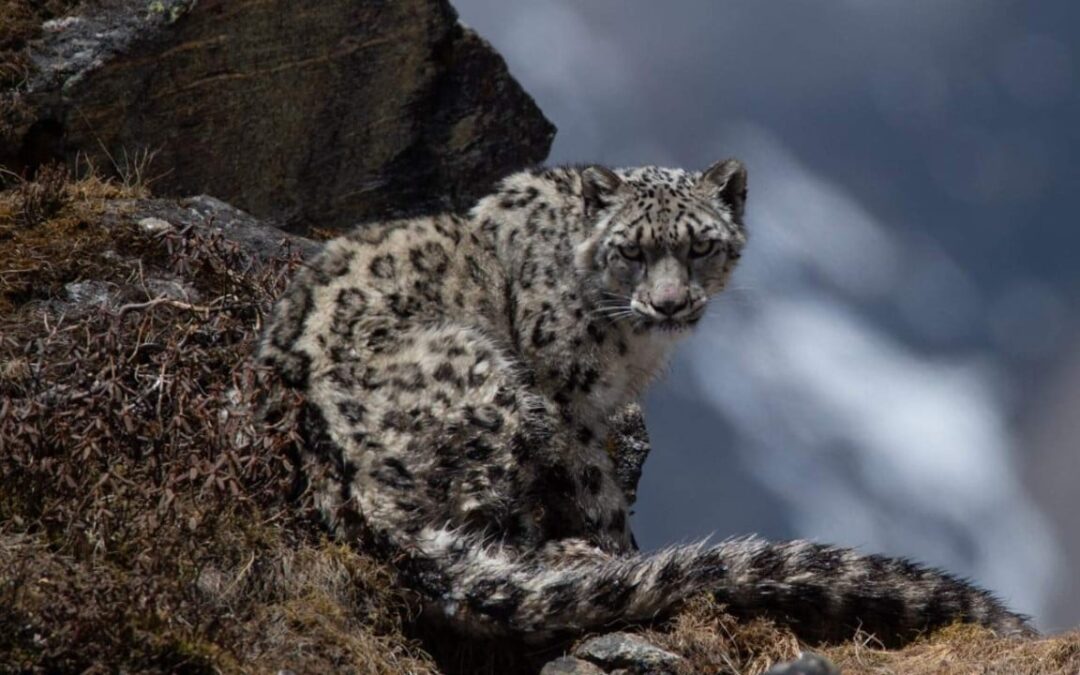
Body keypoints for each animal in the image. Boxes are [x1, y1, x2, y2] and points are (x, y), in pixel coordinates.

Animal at [257, 157, 1032, 643]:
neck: (630, 349)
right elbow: (598, 491)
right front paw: (621, 550)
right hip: (485, 383)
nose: (669, 302)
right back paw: (567, 556)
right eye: (630, 251)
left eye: (699, 247)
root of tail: (336, 473)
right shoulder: (567, 397)